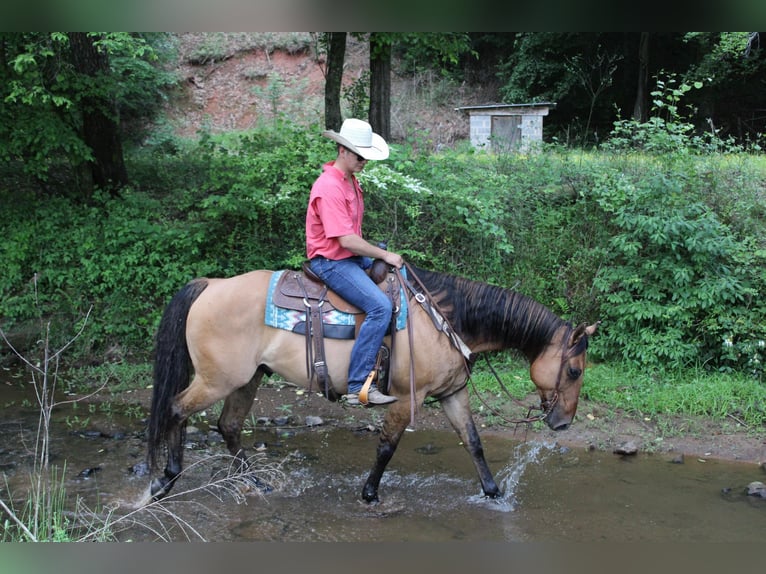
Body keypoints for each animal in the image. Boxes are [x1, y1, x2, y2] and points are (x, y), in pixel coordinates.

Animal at [146, 264, 600, 506]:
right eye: (575, 371)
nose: (562, 424)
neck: (446, 320)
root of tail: (212, 284)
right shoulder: (404, 397)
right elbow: (387, 446)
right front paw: (369, 494)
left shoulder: (453, 394)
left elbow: (473, 442)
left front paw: (494, 493)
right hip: (217, 379)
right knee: (176, 409)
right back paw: (164, 480)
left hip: (248, 377)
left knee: (228, 426)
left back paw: (256, 482)